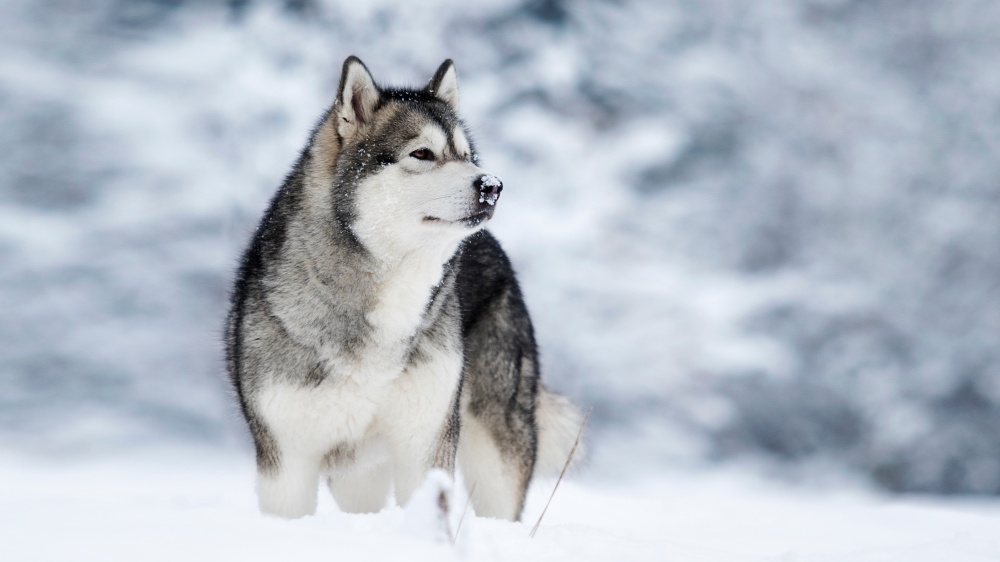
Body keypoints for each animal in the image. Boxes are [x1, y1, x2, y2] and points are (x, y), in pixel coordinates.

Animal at [225, 57, 584, 520]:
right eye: (423, 153)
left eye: (466, 156)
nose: (492, 186)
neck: (390, 295)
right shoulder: (286, 459)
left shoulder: (427, 440)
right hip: (358, 476)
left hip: (493, 448)